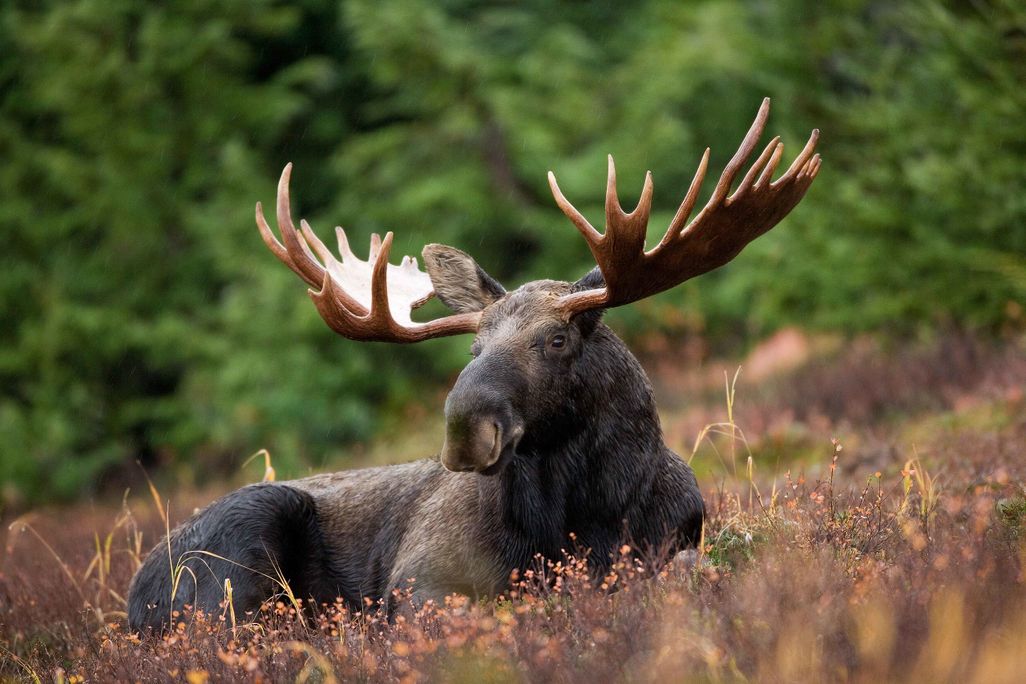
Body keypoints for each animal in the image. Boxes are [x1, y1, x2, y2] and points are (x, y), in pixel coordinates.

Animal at [127, 98, 820, 632]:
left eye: (557, 340)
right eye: (473, 348)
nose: (465, 429)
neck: (587, 515)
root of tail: (134, 597)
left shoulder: (677, 542)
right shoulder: (419, 580)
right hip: (239, 551)